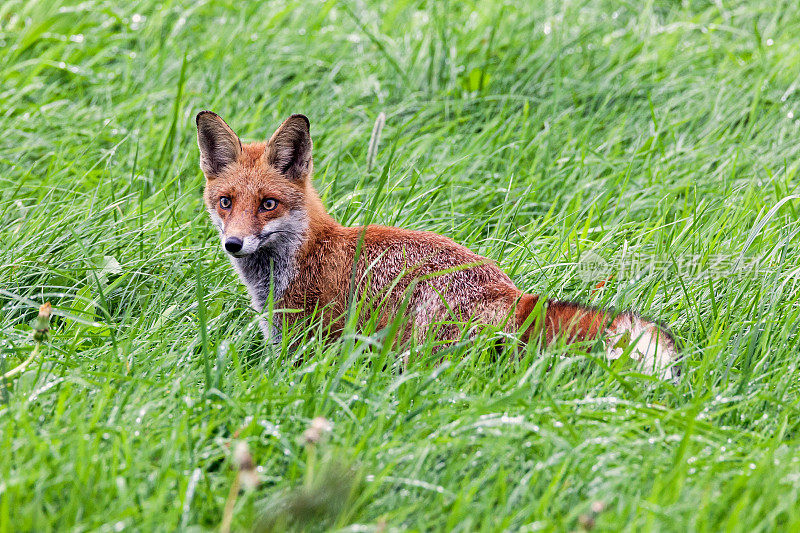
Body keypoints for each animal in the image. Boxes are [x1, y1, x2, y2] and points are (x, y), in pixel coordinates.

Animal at [197, 109, 680, 374]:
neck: (301, 254)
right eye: (226, 202)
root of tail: (512, 293)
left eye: (268, 204)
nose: (234, 244)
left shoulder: (308, 344)